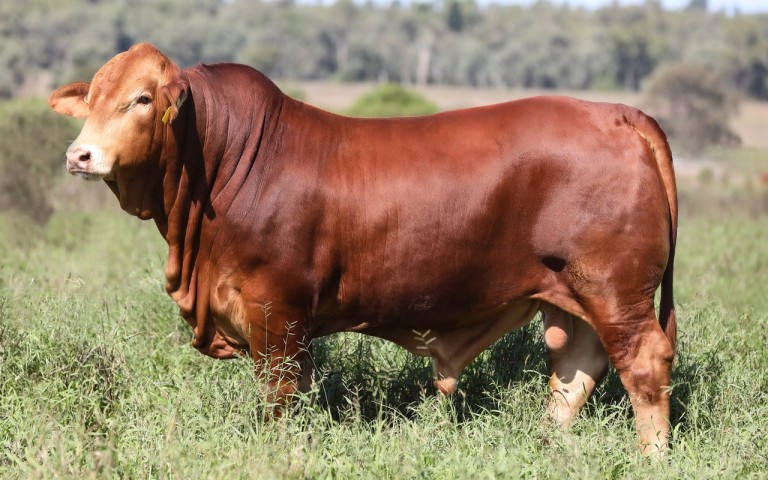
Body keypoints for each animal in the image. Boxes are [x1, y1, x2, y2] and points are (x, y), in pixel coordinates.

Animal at [49, 42, 680, 454]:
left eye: (141, 99)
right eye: (94, 97)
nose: (79, 155)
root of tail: (617, 113)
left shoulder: (276, 315)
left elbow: (279, 398)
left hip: (616, 290)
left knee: (643, 364)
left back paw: (651, 458)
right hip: (572, 294)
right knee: (576, 368)